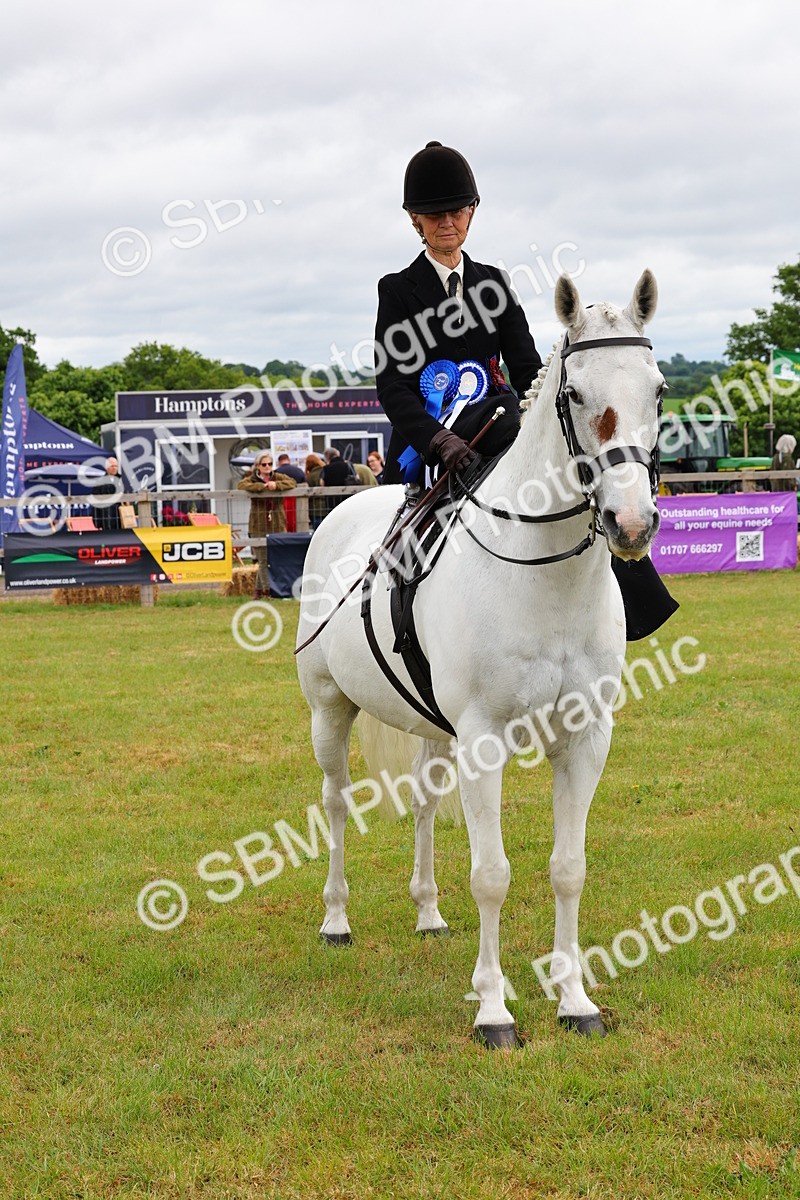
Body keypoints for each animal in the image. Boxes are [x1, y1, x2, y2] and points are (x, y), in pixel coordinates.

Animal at [296, 270, 664, 1047]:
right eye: (574, 394)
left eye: (658, 388)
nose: (631, 523)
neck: (544, 575)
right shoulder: (484, 739)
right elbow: (493, 874)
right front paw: (494, 1011)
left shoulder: (585, 738)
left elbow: (568, 868)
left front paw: (574, 1000)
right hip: (329, 710)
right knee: (336, 802)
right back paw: (336, 921)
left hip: (435, 730)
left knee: (426, 804)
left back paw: (429, 913)